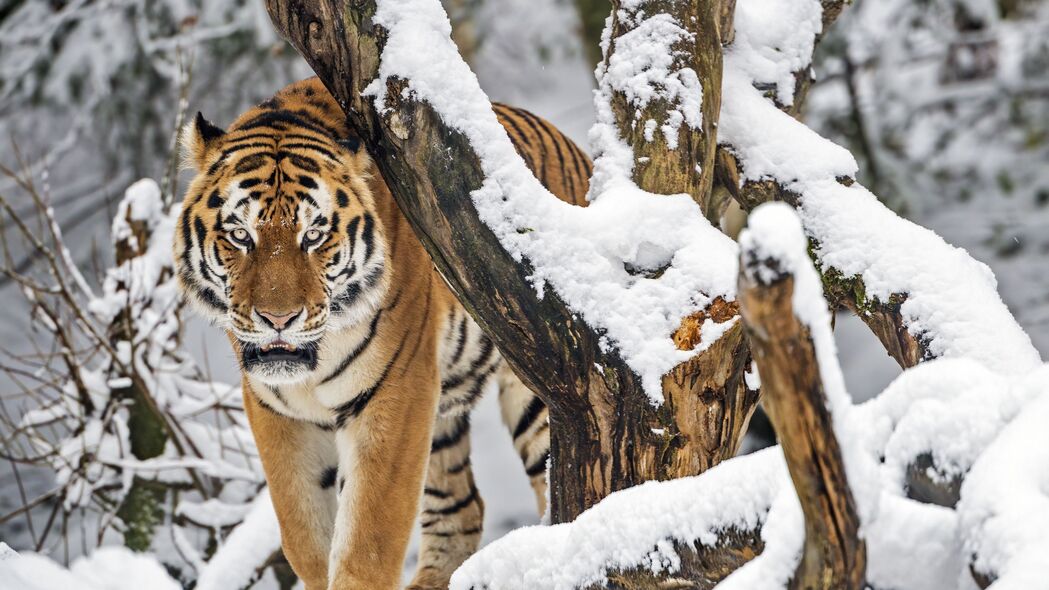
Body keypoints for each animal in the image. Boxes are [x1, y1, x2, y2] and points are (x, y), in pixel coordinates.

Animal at [176, 78, 595, 587]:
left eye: (313, 236)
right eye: (240, 235)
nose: (279, 319)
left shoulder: (395, 390)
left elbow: (368, 539)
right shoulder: (275, 409)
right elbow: (304, 535)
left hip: (539, 391)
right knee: (461, 509)